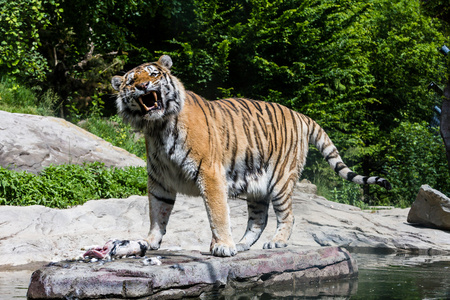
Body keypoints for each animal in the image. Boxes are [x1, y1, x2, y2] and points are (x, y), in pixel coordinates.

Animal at [110, 55, 392, 256]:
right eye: (131, 81)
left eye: (154, 74)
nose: (143, 86)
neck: (158, 126)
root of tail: (301, 115)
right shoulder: (160, 179)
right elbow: (157, 211)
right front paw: (150, 241)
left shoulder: (209, 172)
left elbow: (217, 213)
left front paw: (223, 246)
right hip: (258, 187)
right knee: (258, 220)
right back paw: (243, 245)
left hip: (280, 180)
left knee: (287, 216)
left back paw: (275, 243)